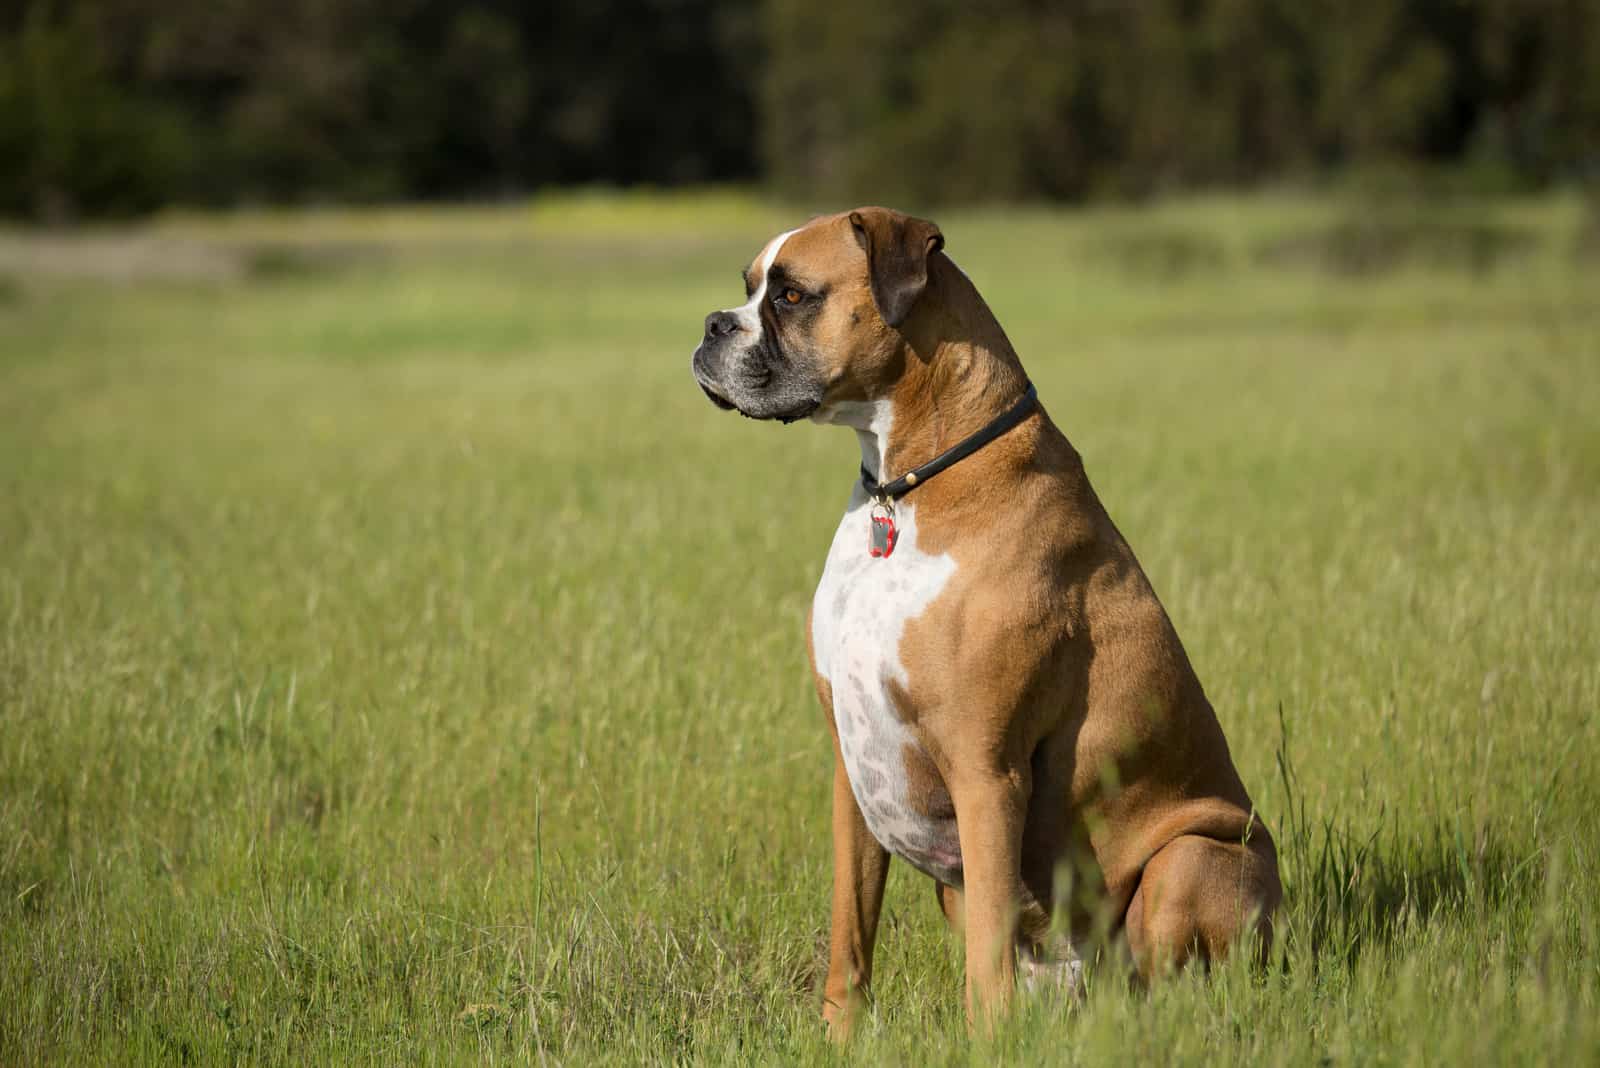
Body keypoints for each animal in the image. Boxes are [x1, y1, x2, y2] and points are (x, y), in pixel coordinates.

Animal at [688, 206, 1273, 1036]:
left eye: (794, 296)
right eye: (747, 288)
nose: (711, 326)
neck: (906, 489)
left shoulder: (986, 771)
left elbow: (989, 950)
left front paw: (987, 1042)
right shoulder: (850, 769)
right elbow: (850, 926)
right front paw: (840, 1032)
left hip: (1195, 855)